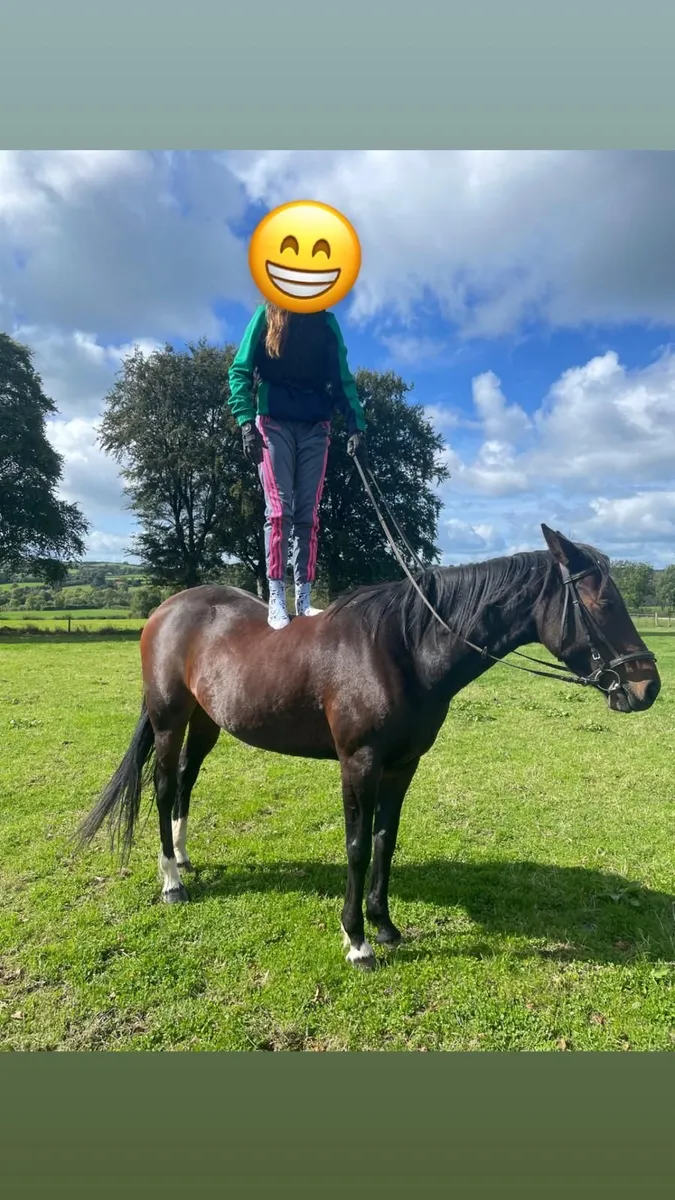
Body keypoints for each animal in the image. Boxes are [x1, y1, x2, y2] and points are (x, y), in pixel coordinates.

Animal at [76, 525, 660, 970]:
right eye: (600, 600)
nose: (647, 686)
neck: (403, 649)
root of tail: (167, 609)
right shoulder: (359, 764)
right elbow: (357, 846)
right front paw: (356, 940)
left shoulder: (403, 766)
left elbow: (385, 839)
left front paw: (384, 925)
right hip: (169, 720)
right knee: (163, 785)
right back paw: (172, 881)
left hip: (205, 723)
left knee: (185, 783)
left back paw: (182, 856)